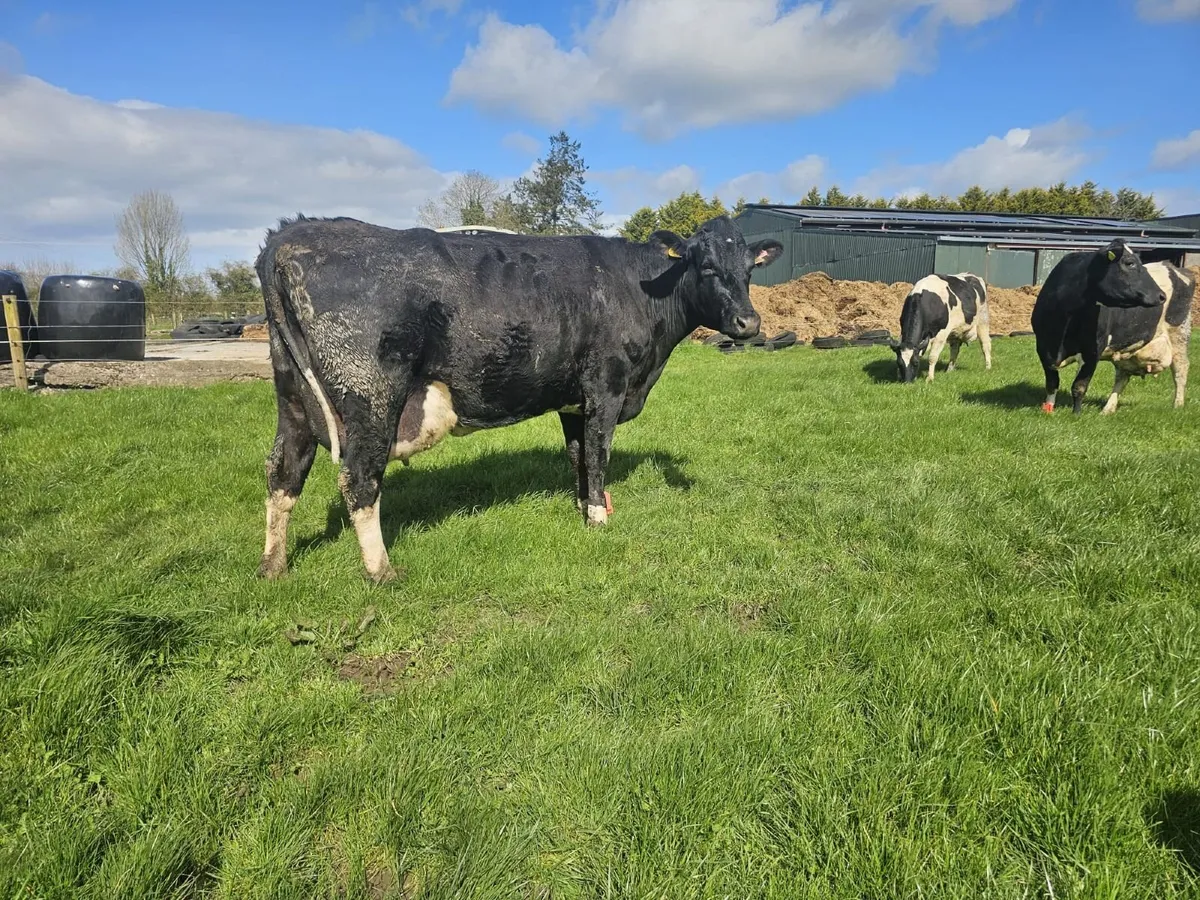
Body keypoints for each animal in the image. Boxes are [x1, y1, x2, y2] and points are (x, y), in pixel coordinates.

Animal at [254, 213, 783, 583]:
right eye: (707, 267)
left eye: (749, 270)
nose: (749, 323)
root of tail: (291, 235)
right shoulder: (605, 387)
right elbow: (599, 452)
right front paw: (599, 519)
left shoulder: (573, 400)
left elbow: (578, 456)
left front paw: (582, 506)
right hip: (371, 395)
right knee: (359, 480)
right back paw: (382, 571)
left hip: (294, 397)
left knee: (284, 472)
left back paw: (273, 567)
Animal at [1031, 238, 1172, 414]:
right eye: (1130, 263)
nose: (1161, 296)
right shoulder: (1043, 347)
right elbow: (1052, 383)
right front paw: (1048, 409)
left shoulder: (1094, 349)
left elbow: (1079, 386)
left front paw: (1076, 414)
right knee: (1122, 377)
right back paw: (1108, 409)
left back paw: (1178, 405)